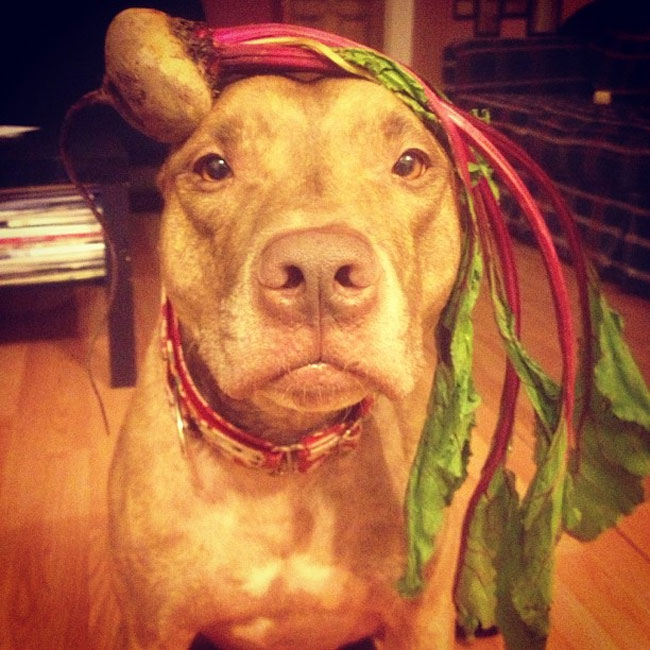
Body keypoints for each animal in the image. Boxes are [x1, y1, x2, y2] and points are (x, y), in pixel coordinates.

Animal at [109, 67, 464, 648]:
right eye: (214, 167)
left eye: (410, 163)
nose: (318, 269)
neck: (286, 451)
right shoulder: (149, 629)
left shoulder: (420, 621)